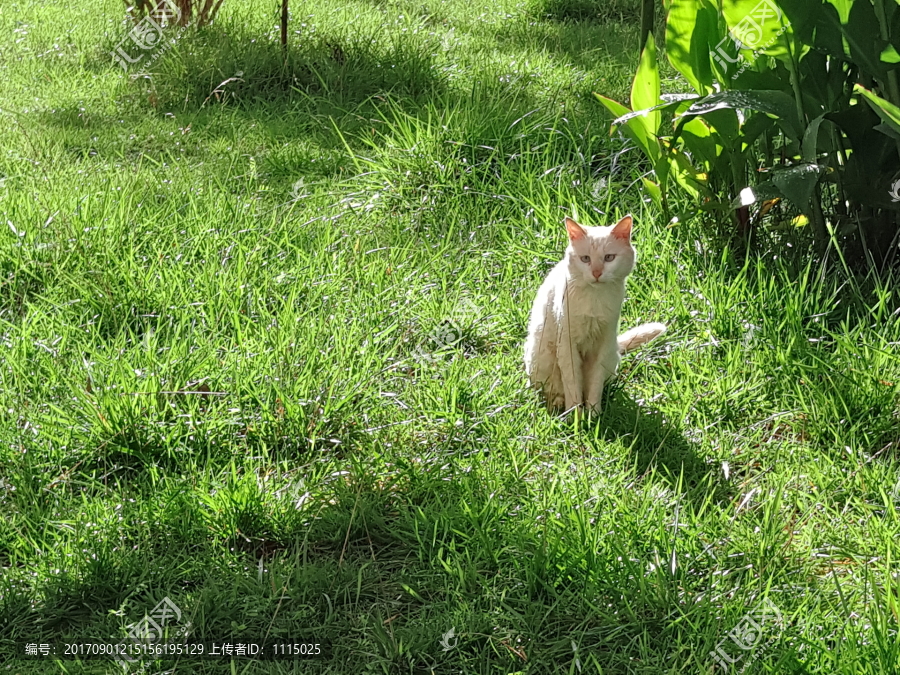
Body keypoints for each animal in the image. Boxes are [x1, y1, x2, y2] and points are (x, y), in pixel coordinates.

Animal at [524, 214, 664, 412]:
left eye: (609, 258)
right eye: (585, 259)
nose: (597, 273)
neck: (594, 301)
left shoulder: (603, 345)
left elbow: (595, 385)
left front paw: (593, 414)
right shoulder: (567, 345)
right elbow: (572, 384)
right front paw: (575, 415)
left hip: (611, 354)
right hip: (541, 360)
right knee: (550, 389)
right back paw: (558, 404)